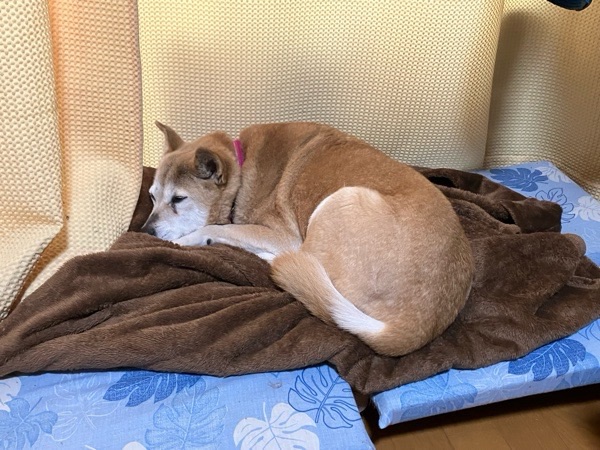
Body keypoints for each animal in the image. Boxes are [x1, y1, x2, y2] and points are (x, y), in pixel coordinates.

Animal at [142, 121, 474, 356]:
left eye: (179, 199)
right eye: (152, 197)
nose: (145, 232)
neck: (241, 166)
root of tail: (417, 326)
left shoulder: (285, 237)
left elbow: (221, 229)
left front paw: (191, 239)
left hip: (340, 201)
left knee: (300, 260)